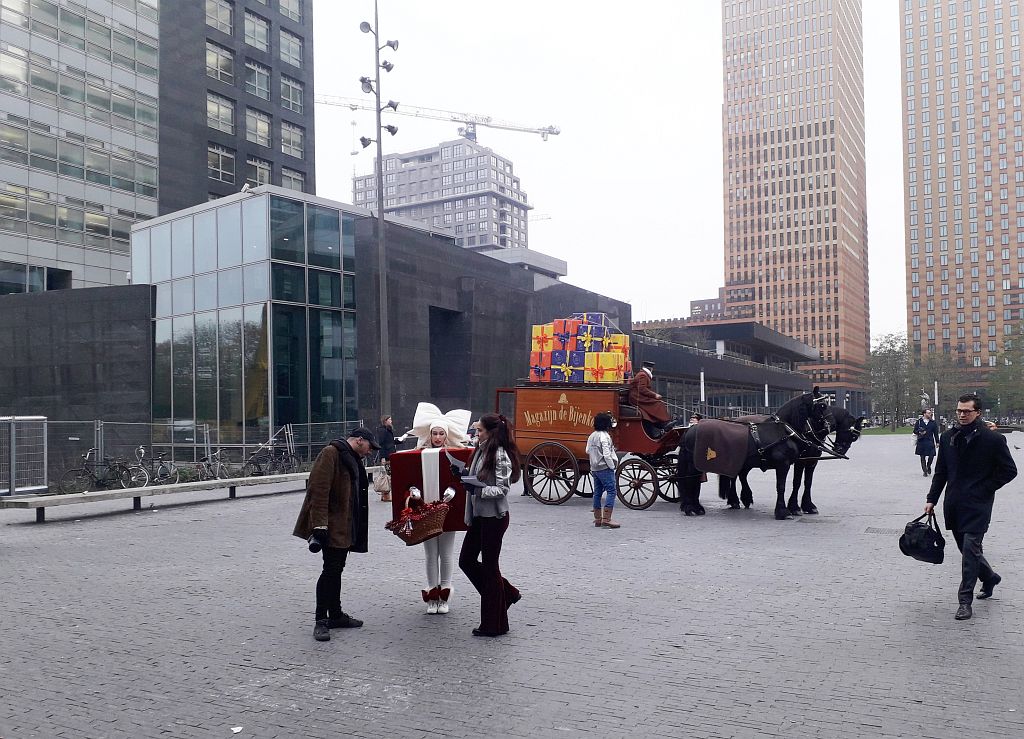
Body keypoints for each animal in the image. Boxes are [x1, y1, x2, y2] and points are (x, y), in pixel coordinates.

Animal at [679, 384, 831, 517]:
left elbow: (801, 483)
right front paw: (783, 511)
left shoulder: (806, 461)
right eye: (822, 405)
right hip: (696, 463)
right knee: (691, 481)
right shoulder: (784, 464)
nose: (828, 425)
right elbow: (782, 486)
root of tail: (691, 428)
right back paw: (691, 508)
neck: (783, 430)